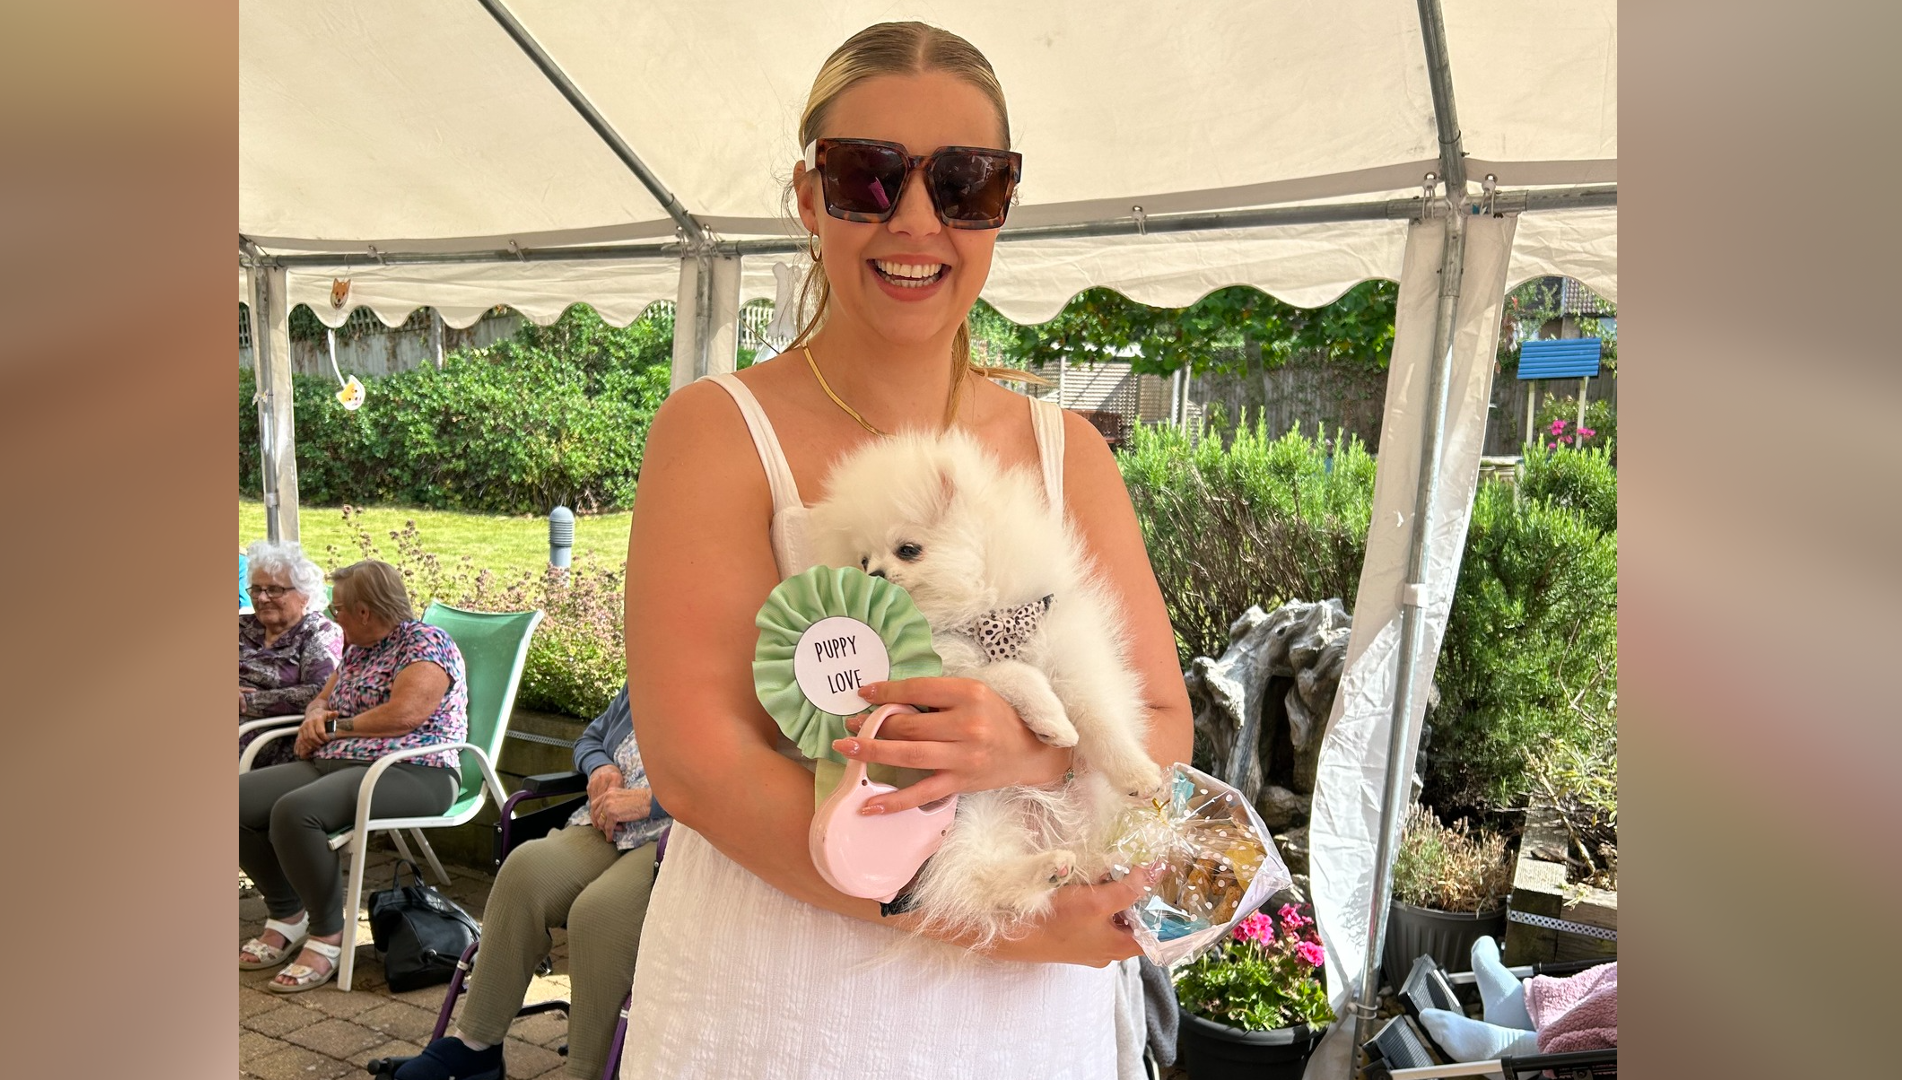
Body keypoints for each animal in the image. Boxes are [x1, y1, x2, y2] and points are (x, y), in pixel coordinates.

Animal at [806, 428, 1159, 941]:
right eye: (863, 558)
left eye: (907, 549)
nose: (873, 574)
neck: (978, 613)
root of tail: (1047, 827)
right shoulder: (953, 669)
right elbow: (1014, 676)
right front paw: (1052, 720)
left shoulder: (1067, 653)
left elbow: (1098, 717)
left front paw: (1135, 773)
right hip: (973, 813)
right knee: (987, 880)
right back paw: (1045, 870)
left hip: (1084, 801)